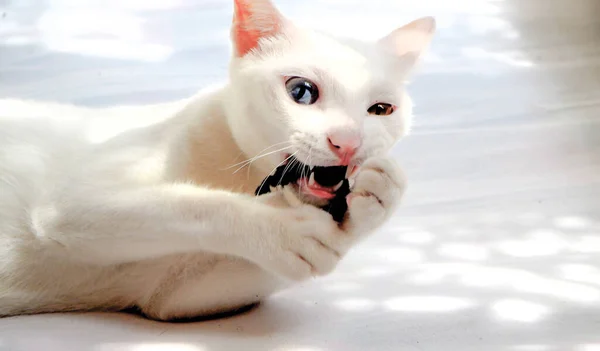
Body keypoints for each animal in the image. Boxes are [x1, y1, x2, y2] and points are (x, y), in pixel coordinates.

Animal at [0, 0, 434, 320]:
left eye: (381, 110)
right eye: (302, 91)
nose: (348, 143)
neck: (236, 170)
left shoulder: (173, 298)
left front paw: (380, 195)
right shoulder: (69, 205)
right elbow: (189, 204)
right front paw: (279, 229)